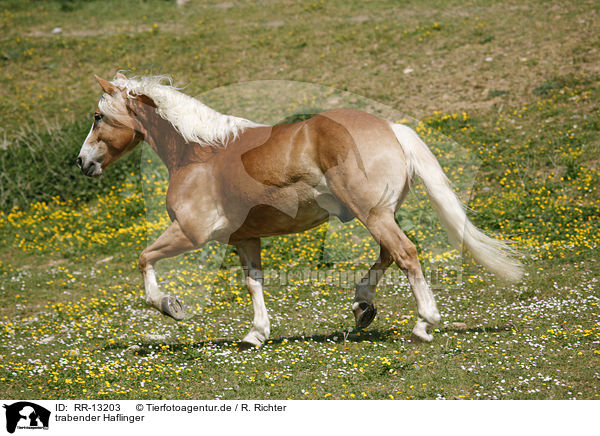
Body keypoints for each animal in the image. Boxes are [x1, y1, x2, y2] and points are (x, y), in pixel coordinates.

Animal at [77, 75, 524, 348]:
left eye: (98, 117)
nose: (82, 163)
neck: (199, 154)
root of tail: (391, 128)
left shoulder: (190, 232)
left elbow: (144, 259)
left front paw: (171, 306)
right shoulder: (245, 239)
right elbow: (253, 283)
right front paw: (255, 335)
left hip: (372, 214)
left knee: (406, 255)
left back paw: (422, 324)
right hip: (378, 214)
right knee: (389, 255)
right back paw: (362, 308)